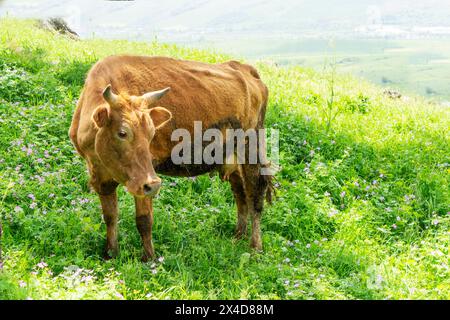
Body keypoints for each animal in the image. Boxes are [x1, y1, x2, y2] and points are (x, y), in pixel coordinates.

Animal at [69, 54, 272, 260]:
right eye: (122, 133)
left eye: (152, 133)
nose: (154, 184)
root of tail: (242, 68)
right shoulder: (101, 176)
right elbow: (110, 216)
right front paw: (111, 253)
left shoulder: (145, 177)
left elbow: (144, 219)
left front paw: (149, 258)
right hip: (231, 155)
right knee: (240, 192)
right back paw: (238, 235)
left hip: (252, 148)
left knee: (255, 192)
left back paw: (255, 246)